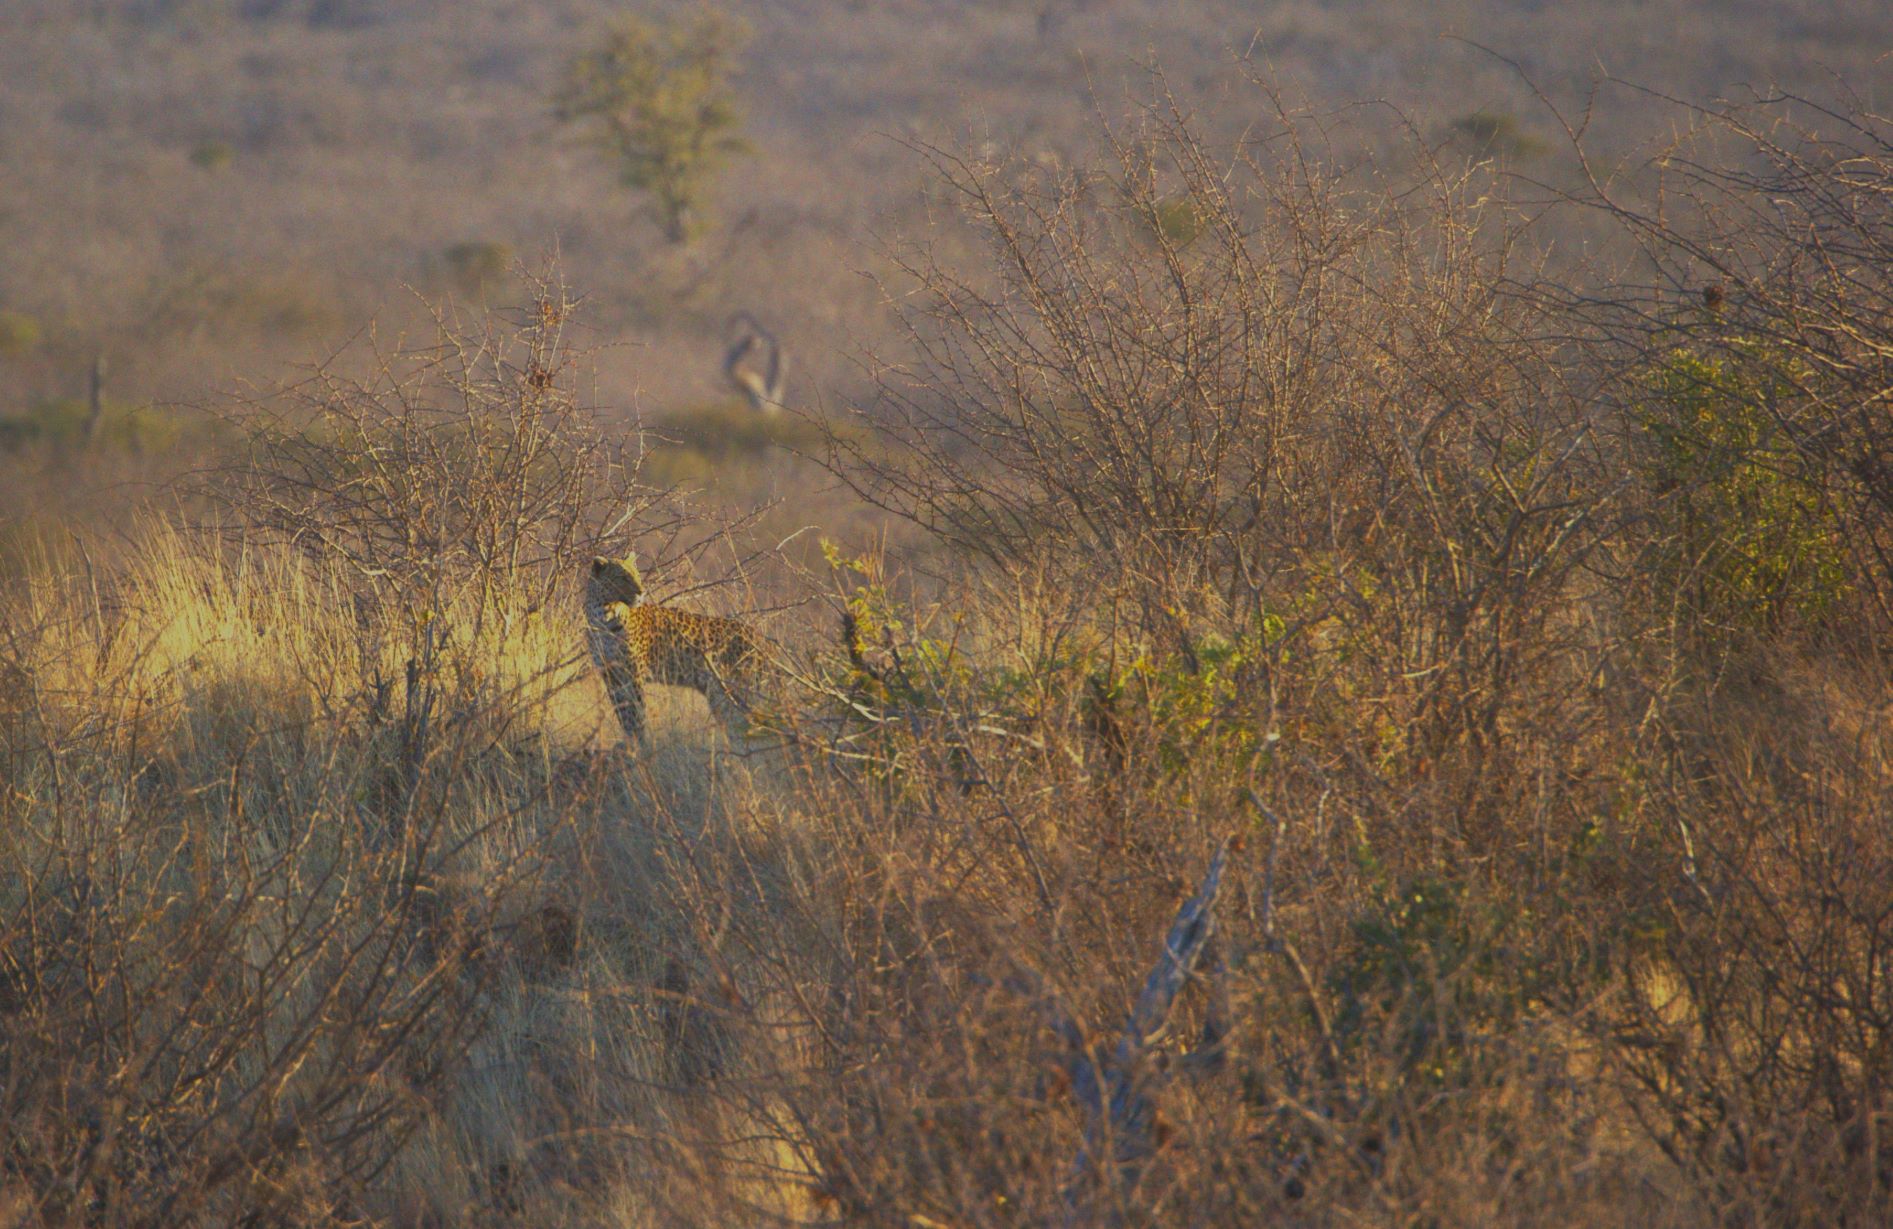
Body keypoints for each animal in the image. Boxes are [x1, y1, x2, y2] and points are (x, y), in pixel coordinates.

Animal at [583, 554, 770, 746]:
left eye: (637, 575)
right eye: (622, 577)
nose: (642, 592)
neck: (602, 614)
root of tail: (760, 637)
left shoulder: (633, 675)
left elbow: (637, 714)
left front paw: (639, 745)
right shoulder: (611, 675)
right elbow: (624, 714)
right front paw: (630, 743)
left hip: (741, 688)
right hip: (722, 695)